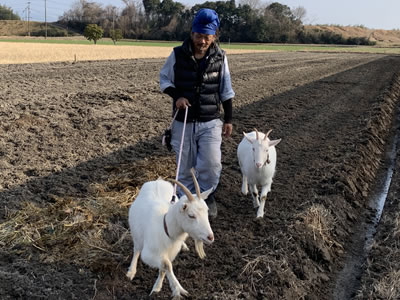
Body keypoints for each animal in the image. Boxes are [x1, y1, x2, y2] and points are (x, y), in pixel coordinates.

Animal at [126, 170, 214, 298]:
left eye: (207, 211)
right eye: (191, 215)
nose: (210, 237)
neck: (166, 228)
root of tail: (157, 181)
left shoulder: (170, 253)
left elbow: (163, 268)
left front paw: (157, 288)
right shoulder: (149, 254)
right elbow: (166, 265)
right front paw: (177, 289)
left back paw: (184, 246)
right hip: (136, 233)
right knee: (136, 249)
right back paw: (131, 271)